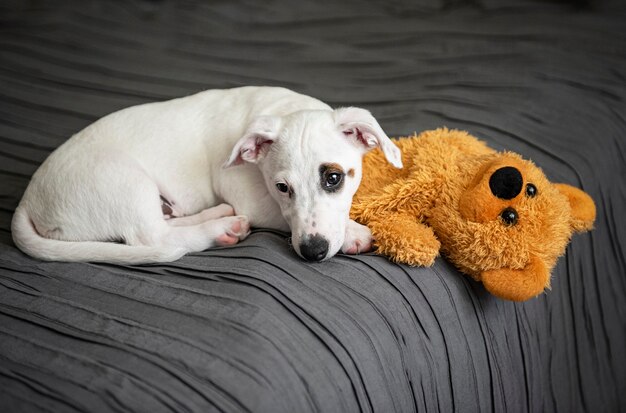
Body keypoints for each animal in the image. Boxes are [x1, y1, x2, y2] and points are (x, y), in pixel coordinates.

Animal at [13, 85, 400, 262]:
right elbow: (283, 216)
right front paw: (353, 232)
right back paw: (220, 228)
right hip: (122, 179)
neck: (284, 109)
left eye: (334, 178)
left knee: (165, 223)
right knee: (153, 237)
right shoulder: (252, 197)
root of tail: (28, 201)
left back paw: (217, 216)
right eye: (281, 187)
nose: (312, 251)